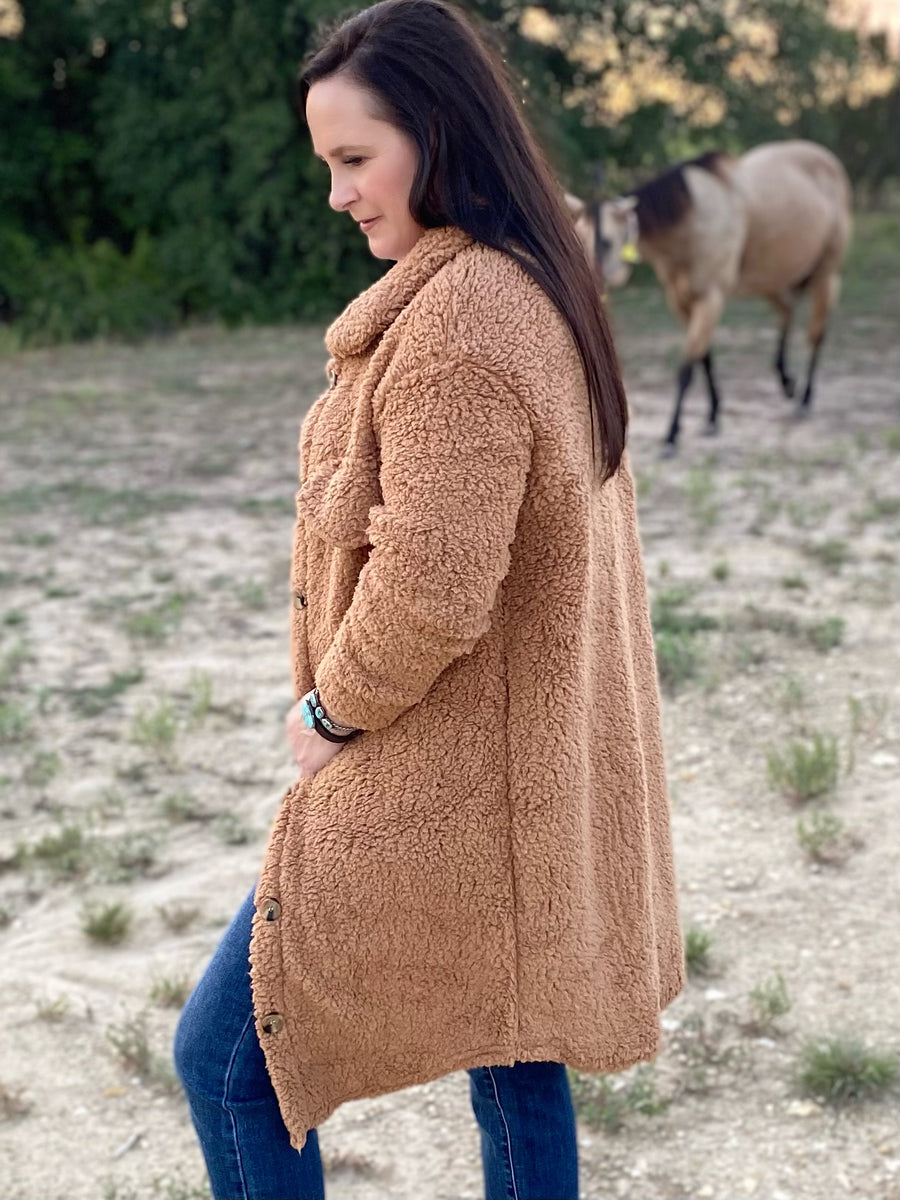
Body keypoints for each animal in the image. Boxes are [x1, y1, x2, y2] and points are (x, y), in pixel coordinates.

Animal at [566, 140, 853, 450]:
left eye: (605, 242)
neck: (692, 220)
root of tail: (829, 161)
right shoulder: (681, 302)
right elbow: (705, 359)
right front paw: (713, 416)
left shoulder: (710, 299)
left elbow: (687, 368)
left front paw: (672, 433)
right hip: (770, 281)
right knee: (787, 312)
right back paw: (787, 382)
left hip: (826, 275)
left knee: (816, 333)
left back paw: (804, 399)